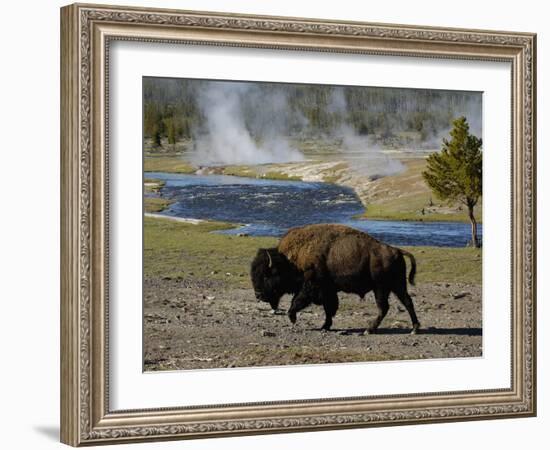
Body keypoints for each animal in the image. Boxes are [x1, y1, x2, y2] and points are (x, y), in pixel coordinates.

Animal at [251, 224, 422, 334]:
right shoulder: (328, 291)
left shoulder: (311, 287)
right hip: (396, 286)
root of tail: (397, 250)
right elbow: (329, 308)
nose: (258, 295)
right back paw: (414, 329)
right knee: (407, 302)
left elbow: (298, 301)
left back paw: (369, 330)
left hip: (381, 288)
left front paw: (292, 318)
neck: (289, 261)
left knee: (384, 307)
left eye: (266, 275)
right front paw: (325, 326)